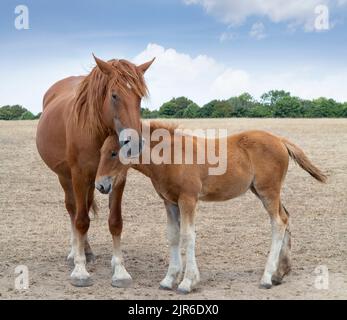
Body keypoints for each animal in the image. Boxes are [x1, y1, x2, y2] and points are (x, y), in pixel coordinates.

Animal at [36, 55, 154, 288]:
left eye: (139, 97)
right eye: (114, 95)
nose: (135, 144)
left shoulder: (116, 178)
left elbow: (115, 221)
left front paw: (120, 270)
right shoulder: (79, 175)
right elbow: (81, 221)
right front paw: (80, 270)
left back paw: (87, 251)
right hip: (66, 177)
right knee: (73, 210)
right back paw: (76, 252)